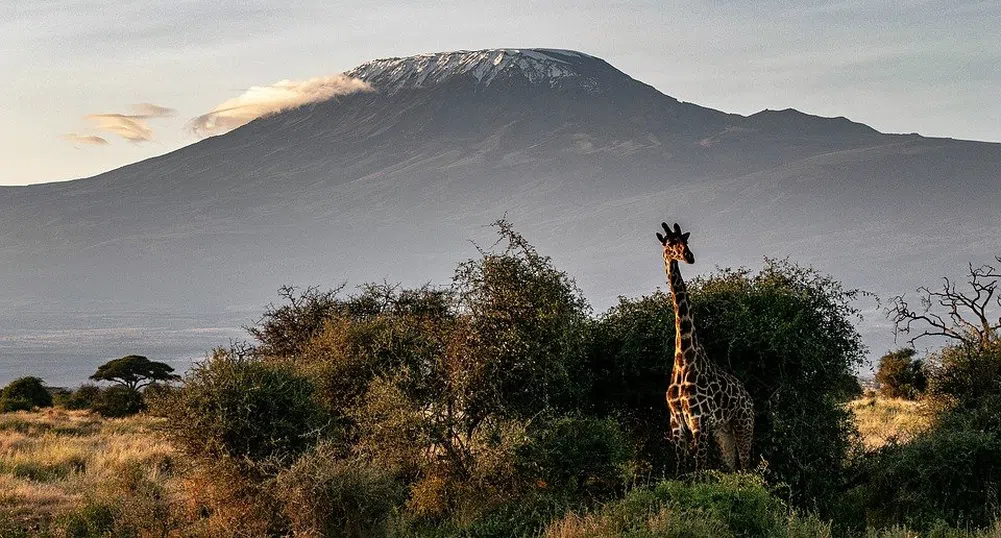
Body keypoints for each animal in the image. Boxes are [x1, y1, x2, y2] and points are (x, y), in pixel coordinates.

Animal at [652, 220, 752, 466]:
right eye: (669, 243)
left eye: (685, 241)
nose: (689, 257)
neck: (684, 358)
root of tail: (749, 397)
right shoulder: (676, 422)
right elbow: (682, 468)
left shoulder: (699, 419)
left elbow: (700, 468)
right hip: (723, 432)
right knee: (732, 468)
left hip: (744, 424)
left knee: (748, 467)